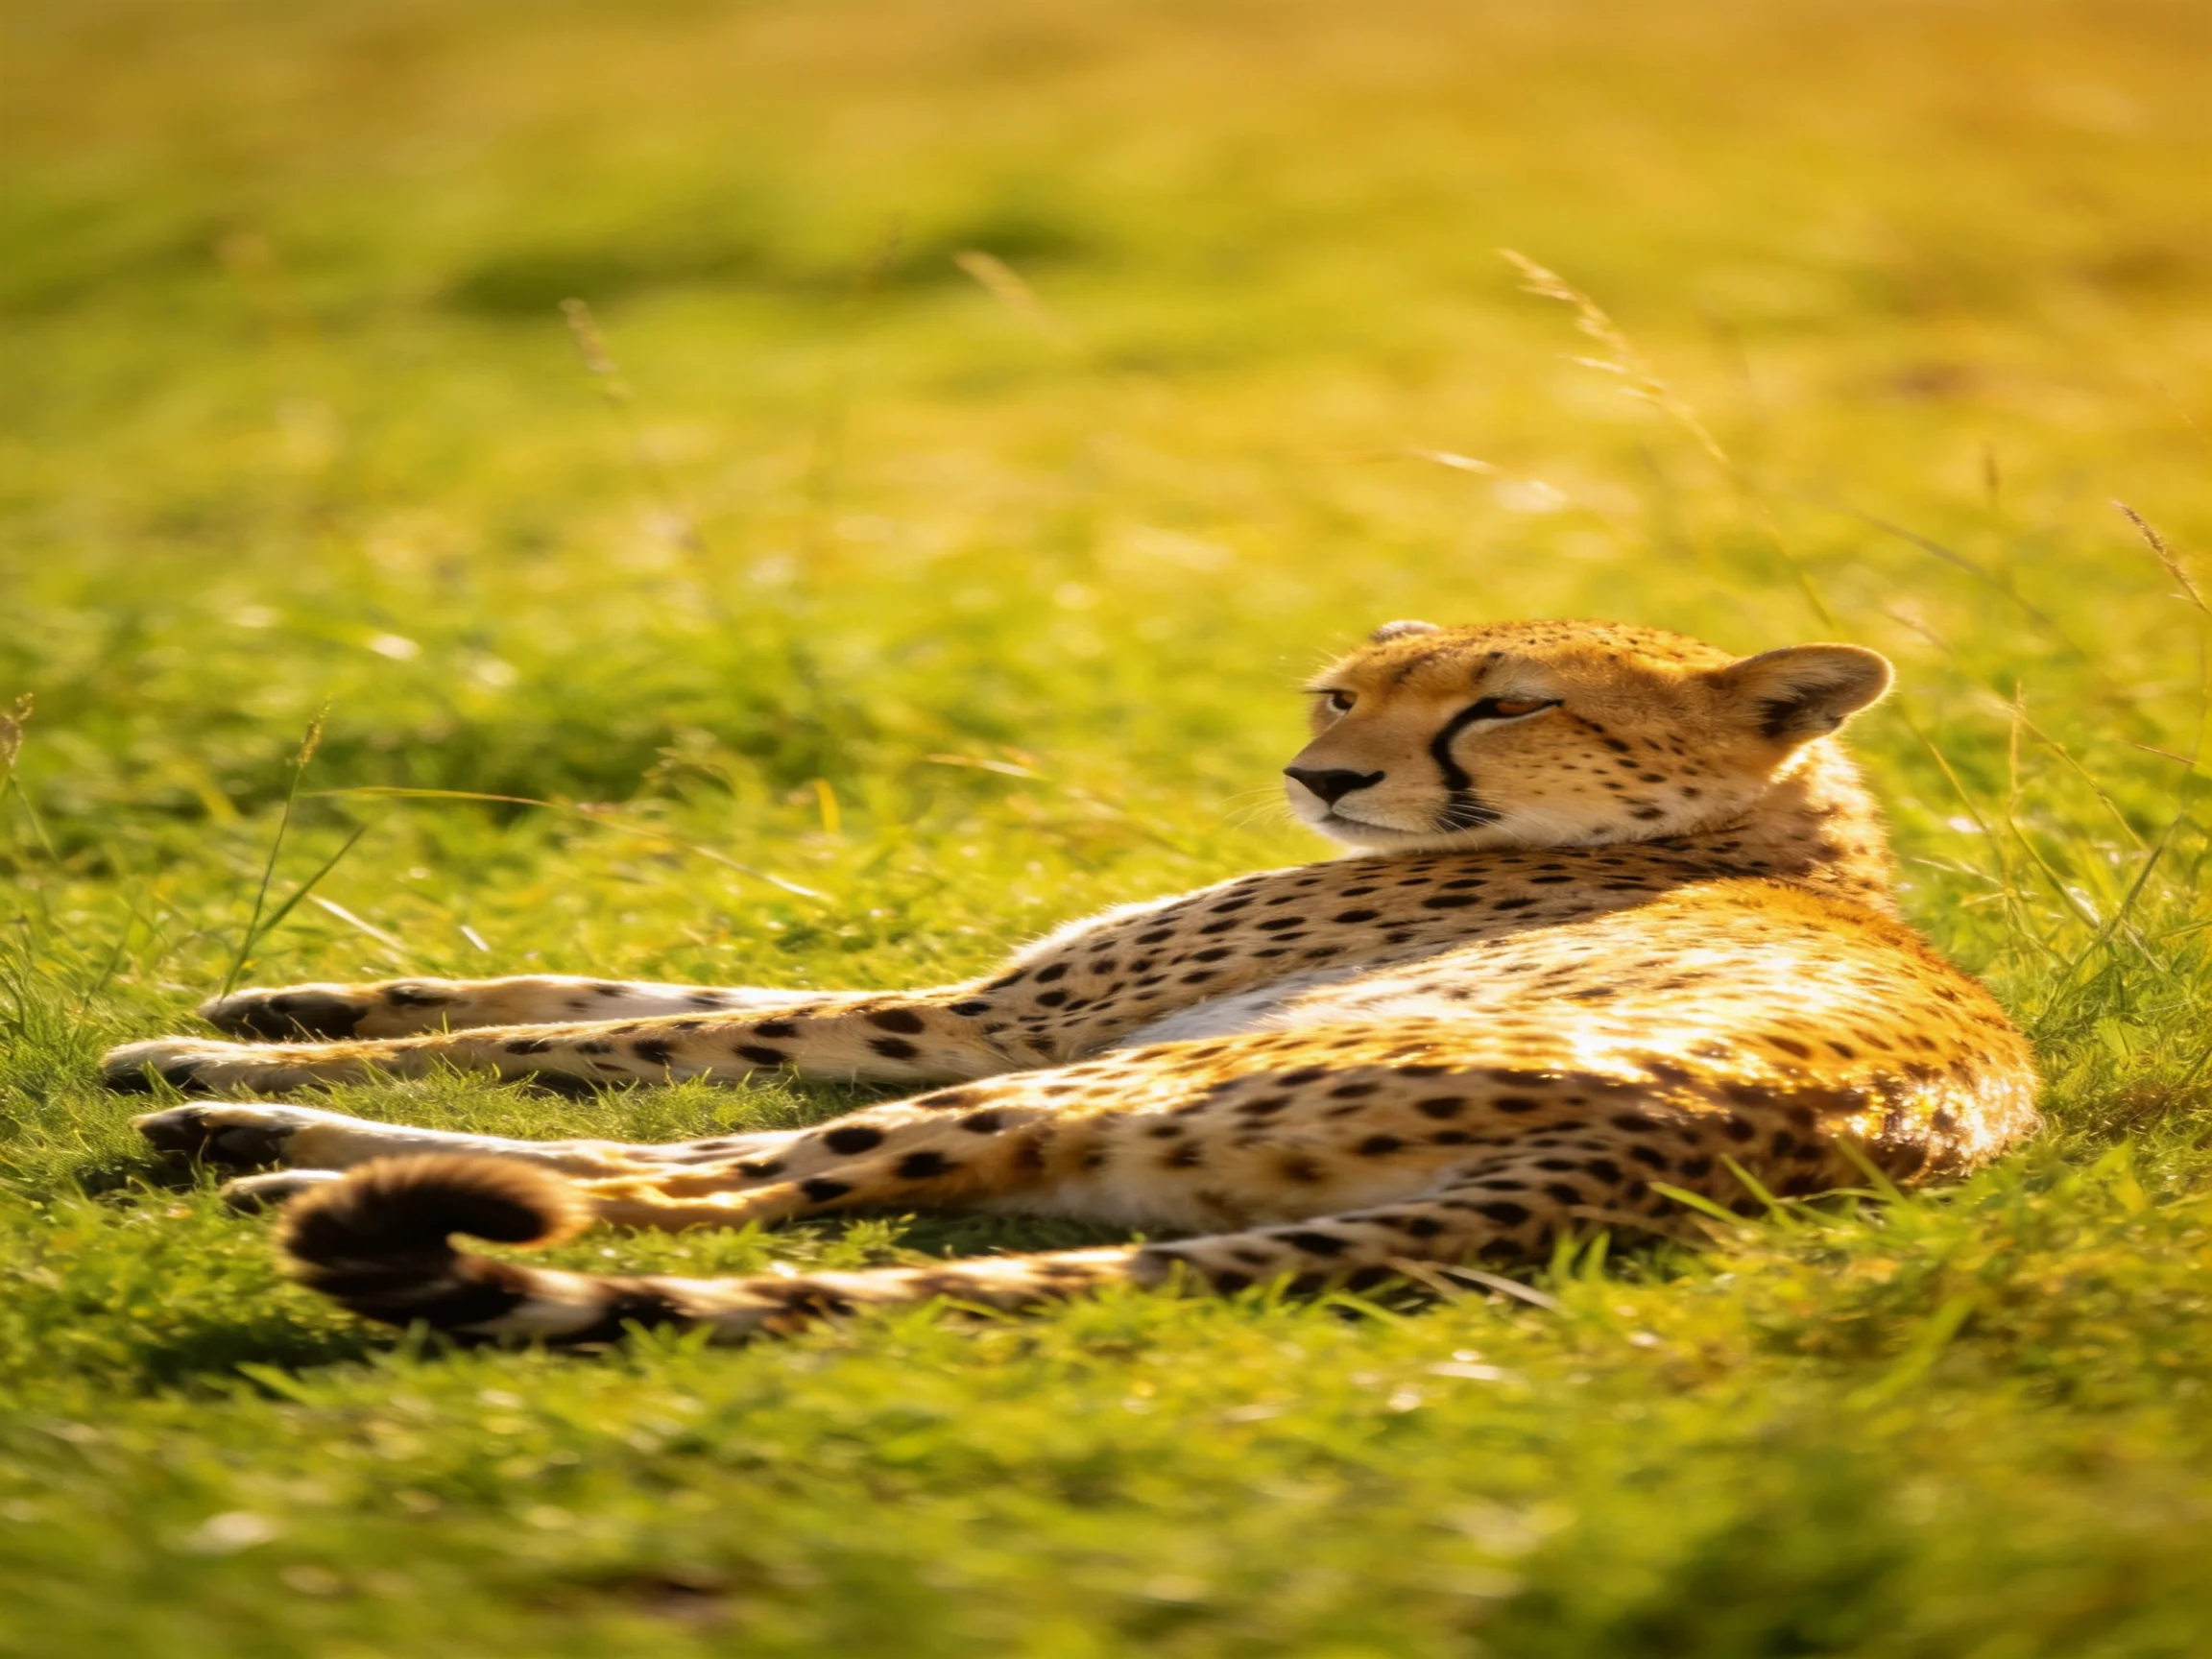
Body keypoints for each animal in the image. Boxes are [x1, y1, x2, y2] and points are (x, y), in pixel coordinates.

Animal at [107, 617, 2040, 1345]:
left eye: (1506, 706)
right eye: (1347, 690)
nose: (1320, 774)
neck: (1780, 836)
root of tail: (1703, 1146)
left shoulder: (991, 1014)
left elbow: (653, 1034)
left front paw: (221, 1052)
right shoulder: (997, 995)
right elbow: (591, 990)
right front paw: (279, 1003)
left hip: (1088, 1079)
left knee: (712, 1182)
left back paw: (252, 1150)